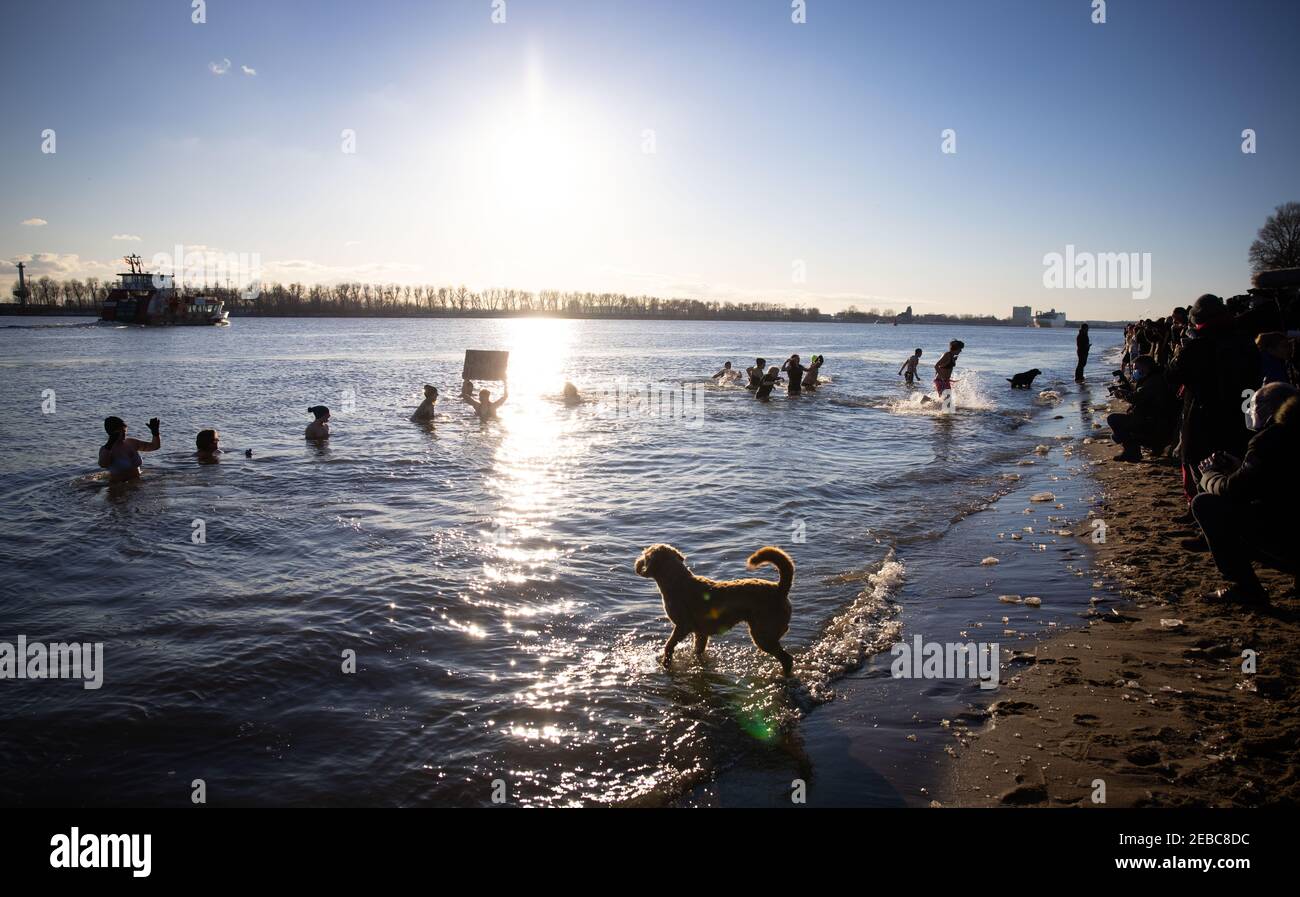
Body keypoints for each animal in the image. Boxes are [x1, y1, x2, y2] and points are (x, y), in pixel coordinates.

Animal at [634, 540, 795, 676]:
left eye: (645, 555)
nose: (636, 562)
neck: (676, 581)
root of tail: (780, 589)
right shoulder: (700, 633)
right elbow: (697, 650)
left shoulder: (682, 626)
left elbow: (668, 646)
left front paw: (666, 664)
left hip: (763, 636)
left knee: (787, 659)